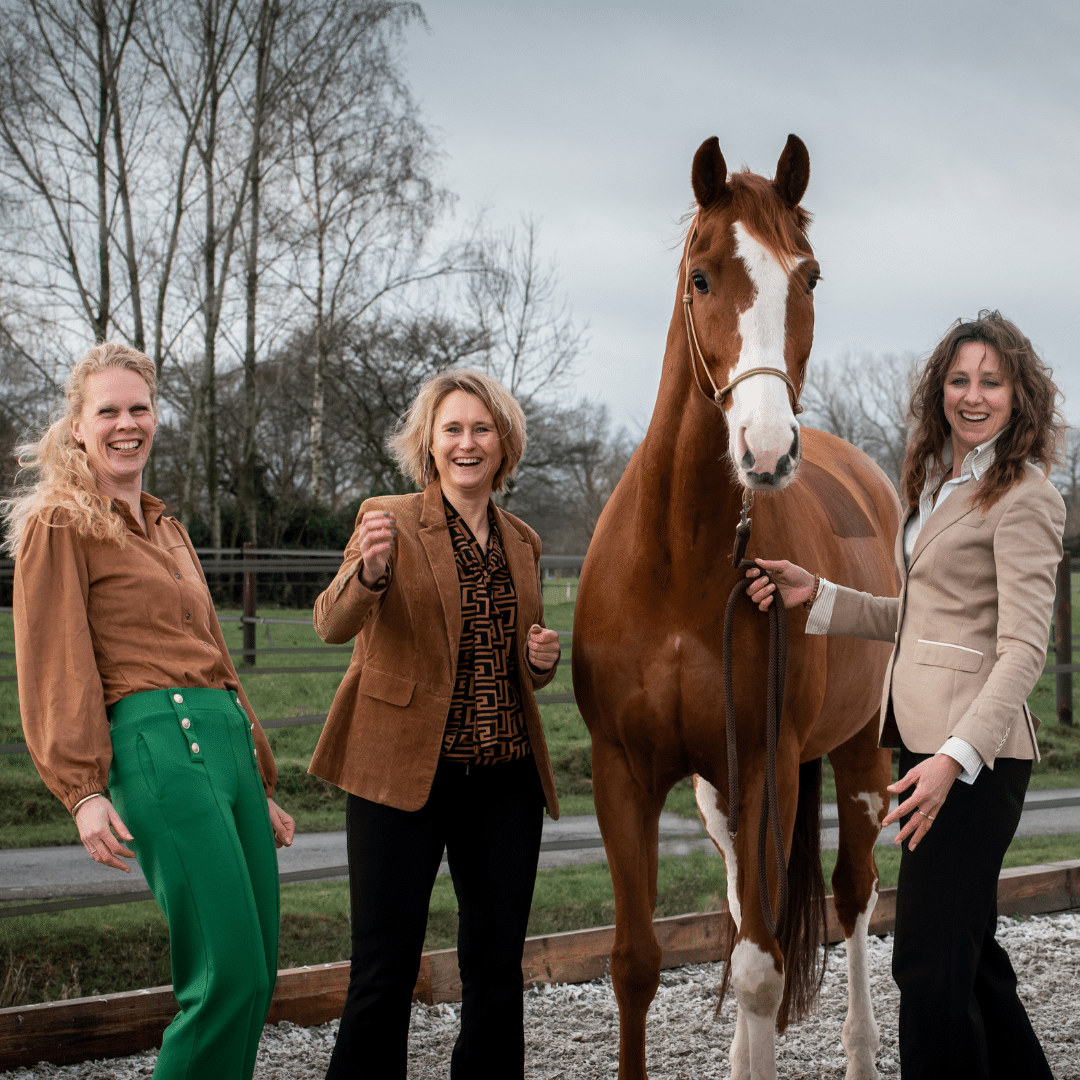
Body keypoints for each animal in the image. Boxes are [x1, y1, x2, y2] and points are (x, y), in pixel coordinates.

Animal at [574, 135, 902, 1080]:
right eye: (702, 276)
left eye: (811, 275)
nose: (765, 448)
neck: (685, 562)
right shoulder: (627, 772)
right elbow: (635, 963)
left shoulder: (767, 764)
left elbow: (761, 967)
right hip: (719, 795)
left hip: (858, 762)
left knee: (853, 898)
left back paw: (860, 1048)